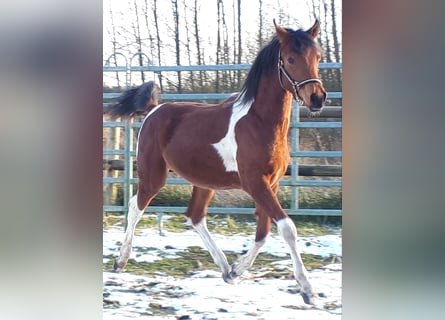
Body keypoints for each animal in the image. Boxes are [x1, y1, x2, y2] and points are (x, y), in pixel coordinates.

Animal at [106, 20, 326, 304]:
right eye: (290, 58)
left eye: (318, 56)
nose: (317, 98)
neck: (259, 123)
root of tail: (155, 109)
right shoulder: (255, 183)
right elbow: (287, 227)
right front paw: (308, 290)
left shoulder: (272, 184)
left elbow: (264, 231)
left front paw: (236, 270)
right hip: (154, 176)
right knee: (136, 207)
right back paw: (120, 262)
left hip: (204, 181)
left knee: (195, 215)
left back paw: (224, 268)